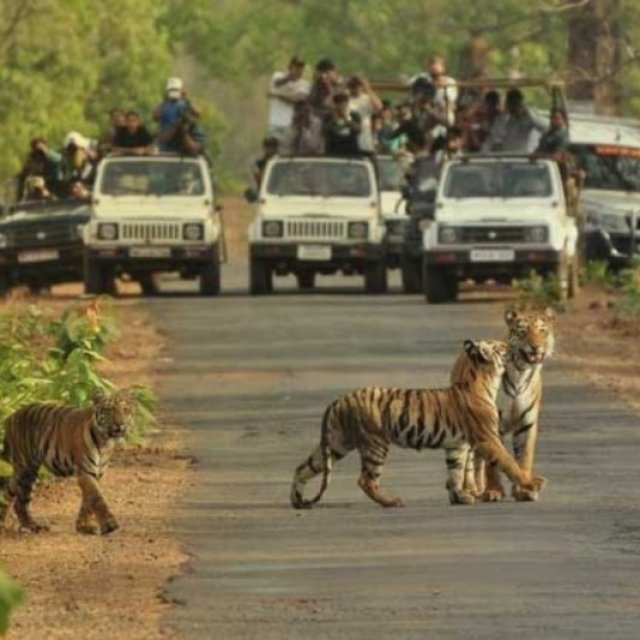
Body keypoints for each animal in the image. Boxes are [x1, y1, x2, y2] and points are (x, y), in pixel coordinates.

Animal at [0, 390, 135, 536]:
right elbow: (97, 498)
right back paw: (33, 526)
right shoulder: (85, 472)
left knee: (9, 492)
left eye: (125, 410)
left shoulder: (97, 473)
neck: (105, 441)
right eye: (108, 410)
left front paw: (83, 526)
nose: (120, 425)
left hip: (23, 471)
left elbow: (88, 500)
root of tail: (10, 416)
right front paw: (109, 525)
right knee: (20, 502)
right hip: (26, 469)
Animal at [290, 340, 544, 510]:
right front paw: (532, 484)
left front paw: (460, 497)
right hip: (375, 444)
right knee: (366, 480)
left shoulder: (457, 445)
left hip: (336, 443)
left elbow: (455, 472)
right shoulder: (487, 438)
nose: (512, 346)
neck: (482, 380)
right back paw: (392, 501)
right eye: (500, 346)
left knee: (302, 468)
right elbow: (509, 463)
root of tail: (339, 400)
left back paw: (297, 500)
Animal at [450, 308, 556, 502]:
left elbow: (524, 457)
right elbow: (493, 463)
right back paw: (470, 489)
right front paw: (494, 491)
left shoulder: (527, 424)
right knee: (469, 459)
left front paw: (524, 490)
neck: (521, 372)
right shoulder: (492, 425)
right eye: (522, 332)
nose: (535, 346)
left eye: (542, 331)